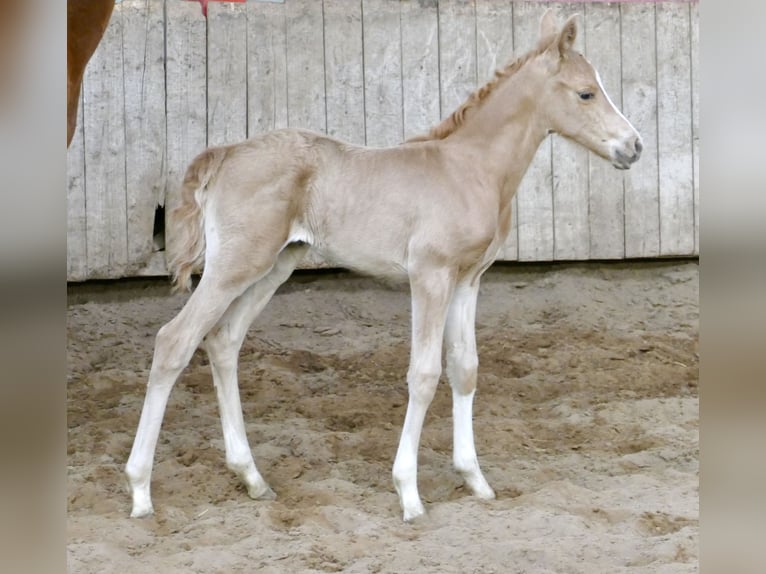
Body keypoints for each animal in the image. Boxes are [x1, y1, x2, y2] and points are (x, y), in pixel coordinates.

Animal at [125, 10, 642, 522]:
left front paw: (475, 480)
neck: (470, 170)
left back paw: (252, 477)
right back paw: (140, 490)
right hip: (235, 265)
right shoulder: (430, 276)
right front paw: (409, 494)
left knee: (223, 340)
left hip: (273, 266)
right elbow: (424, 374)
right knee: (174, 341)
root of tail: (226, 153)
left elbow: (465, 367)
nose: (634, 146)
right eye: (586, 92)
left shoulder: (468, 280)